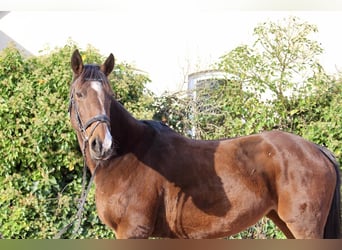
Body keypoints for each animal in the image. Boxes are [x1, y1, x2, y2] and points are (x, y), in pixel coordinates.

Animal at [69, 49, 340, 239]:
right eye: (79, 94)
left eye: (110, 96)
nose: (101, 144)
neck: (128, 155)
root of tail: (316, 149)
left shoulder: (132, 230)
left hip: (303, 226)